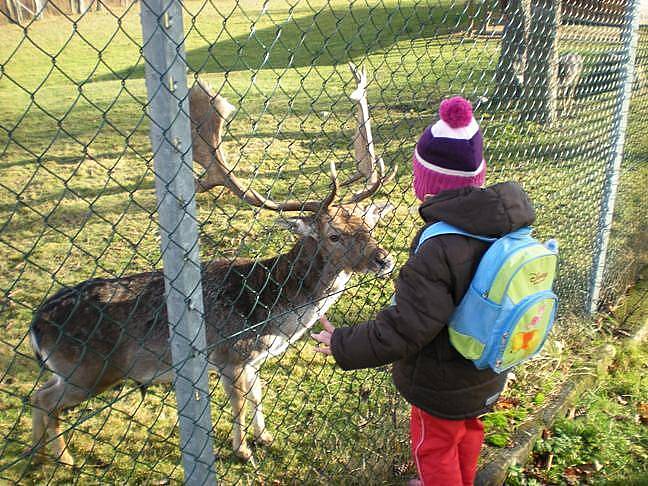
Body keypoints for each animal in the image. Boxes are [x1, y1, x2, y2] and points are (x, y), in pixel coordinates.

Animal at [27, 70, 398, 466]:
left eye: (368, 224)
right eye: (333, 235)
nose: (384, 259)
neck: (272, 314)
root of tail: (36, 325)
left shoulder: (252, 360)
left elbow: (258, 395)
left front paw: (264, 437)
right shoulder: (229, 355)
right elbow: (239, 404)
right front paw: (243, 450)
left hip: (72, 372)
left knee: (39, 394)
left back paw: (39, 454)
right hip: (89, 370)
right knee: (45, 400)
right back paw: (63, 458)